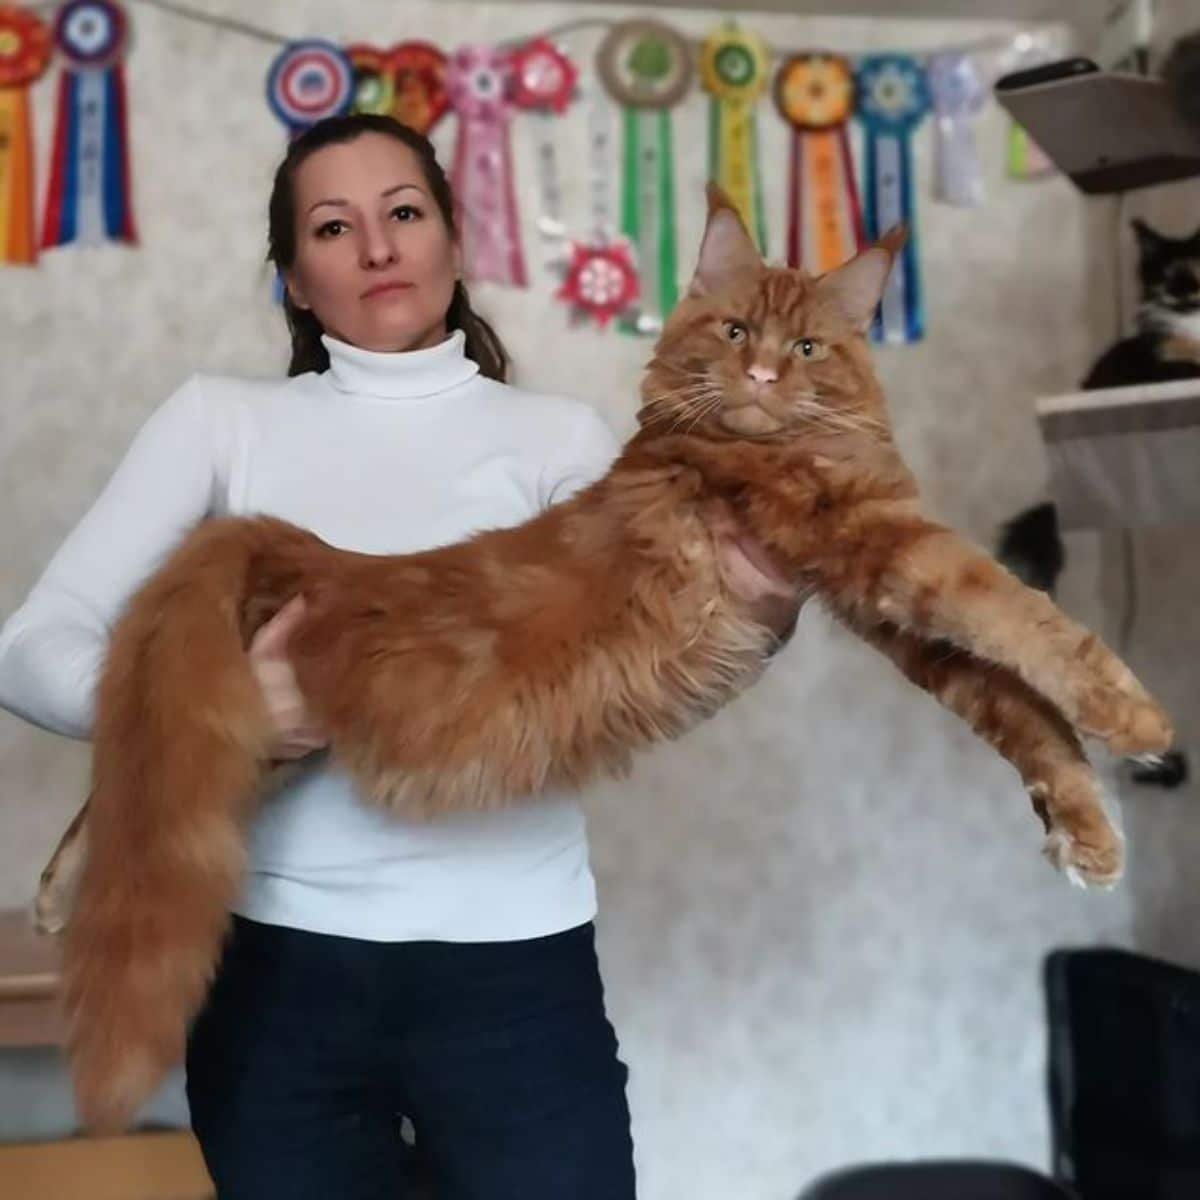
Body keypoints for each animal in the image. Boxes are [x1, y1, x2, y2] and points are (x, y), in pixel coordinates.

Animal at [58, 189, 1171, 1132]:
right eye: (737, 333)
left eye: (807, 345)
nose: (762, 376)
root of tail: (317, 554)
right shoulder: (886, 549)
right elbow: (1029, 622)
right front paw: (1140, 718)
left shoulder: (884, 609)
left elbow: (1021, 710)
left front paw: (1087, 830)